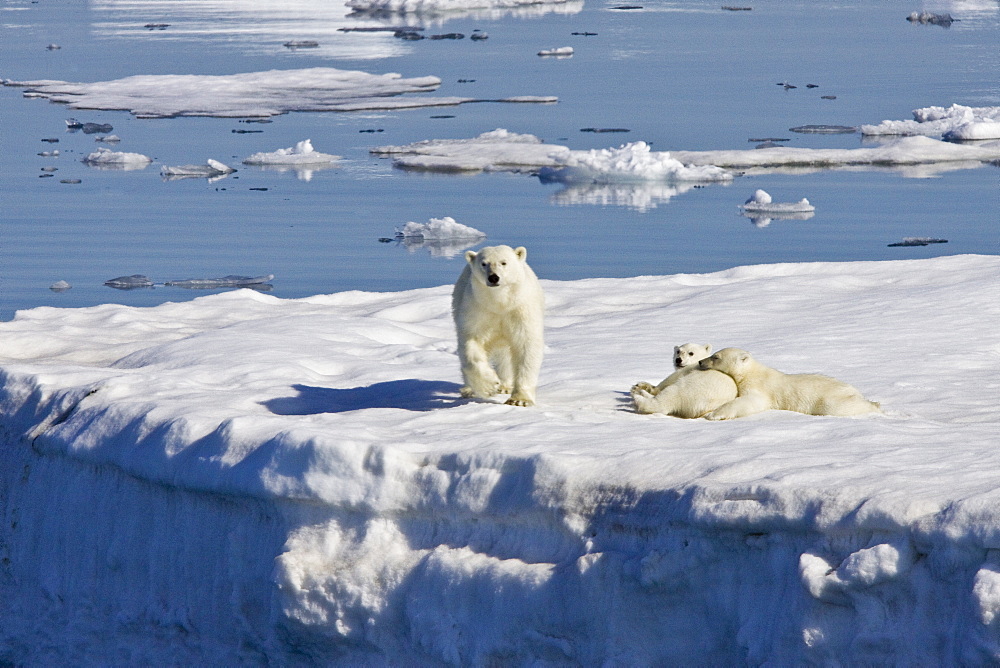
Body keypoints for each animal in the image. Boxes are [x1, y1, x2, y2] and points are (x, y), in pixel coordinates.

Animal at [456, 243, 548, 404]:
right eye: (484, 263)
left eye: (504, 262)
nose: (493, 277)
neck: (500, 303)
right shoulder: (477, 310)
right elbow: (471, 343)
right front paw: (489, 385)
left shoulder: (520, 310)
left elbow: (526, 345)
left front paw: (520, 400)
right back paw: (469, 390)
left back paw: (505, 386)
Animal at [696, 348, 884, 420]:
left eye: (716, 357)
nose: (700, 362)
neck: (752, 372)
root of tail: (856, 391)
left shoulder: (760, 388)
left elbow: (749, 402)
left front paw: (713, 414)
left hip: (831, 400)